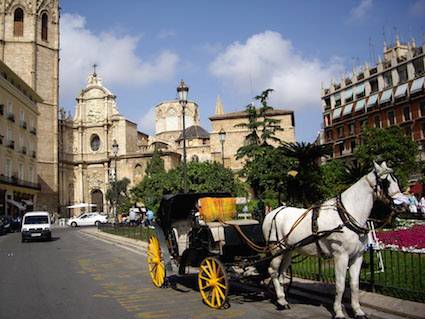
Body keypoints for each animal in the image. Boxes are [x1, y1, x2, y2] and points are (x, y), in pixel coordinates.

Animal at [262, 162, 408, 319]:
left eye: (396, 180)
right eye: (386, 182)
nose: (403, 205)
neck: (346, 217)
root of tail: (273, 212)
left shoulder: (358, 256)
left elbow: (354, 285)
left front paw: (358, 311)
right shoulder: (340, 256)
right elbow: (340, 285)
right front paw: (338, 312)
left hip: (288, 250)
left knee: (281, 273)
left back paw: (283, 298)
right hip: (277, 249)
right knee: (273, 271)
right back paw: (281, 301)